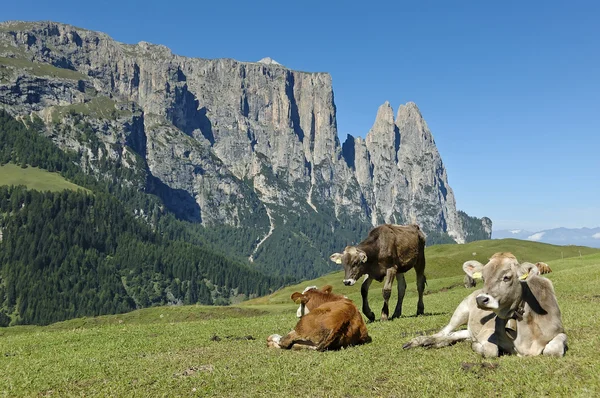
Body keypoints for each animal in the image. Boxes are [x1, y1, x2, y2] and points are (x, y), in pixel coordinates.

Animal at [404, 253, 568, 360]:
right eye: (483, 278)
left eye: (506, 277)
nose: (481, 299)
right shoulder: (487, 332)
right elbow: (491, 351)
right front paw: (477, 347)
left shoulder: (560, 332)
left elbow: (553, 350)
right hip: (460, 312)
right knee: (443, 332)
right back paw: (421, 341)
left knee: (455, 335)